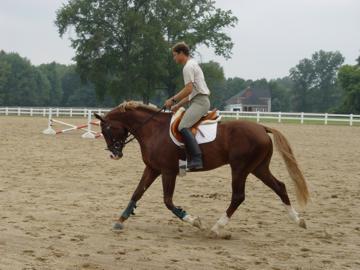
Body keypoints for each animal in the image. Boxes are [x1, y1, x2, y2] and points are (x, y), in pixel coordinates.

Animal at [95, 102, 310, 238]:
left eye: (106, 130)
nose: (114, 154)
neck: (153, 130)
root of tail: (262, 128)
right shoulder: (152, 169)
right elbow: (137, 193)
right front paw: (120, 220)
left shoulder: (167, 171)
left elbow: (168, 201)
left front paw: (193, 220)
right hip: (258, 168)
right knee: (280, 187)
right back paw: (298, 220)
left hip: (240, 168)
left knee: (238, 196)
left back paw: (216, 228)